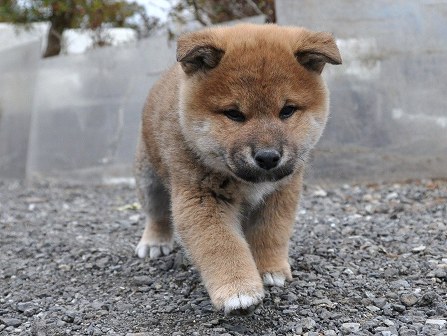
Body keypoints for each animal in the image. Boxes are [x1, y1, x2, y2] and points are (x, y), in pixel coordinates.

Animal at [135, 23, 342, 316]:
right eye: (234, 114)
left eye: (287, 110)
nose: (268, 157)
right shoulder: (201, 197)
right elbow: (222, 245)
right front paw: (238, 289)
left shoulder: (280, 193)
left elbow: (270, 233)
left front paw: (270, 268)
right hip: (149, 179)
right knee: (157, 215)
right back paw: (154, 242)